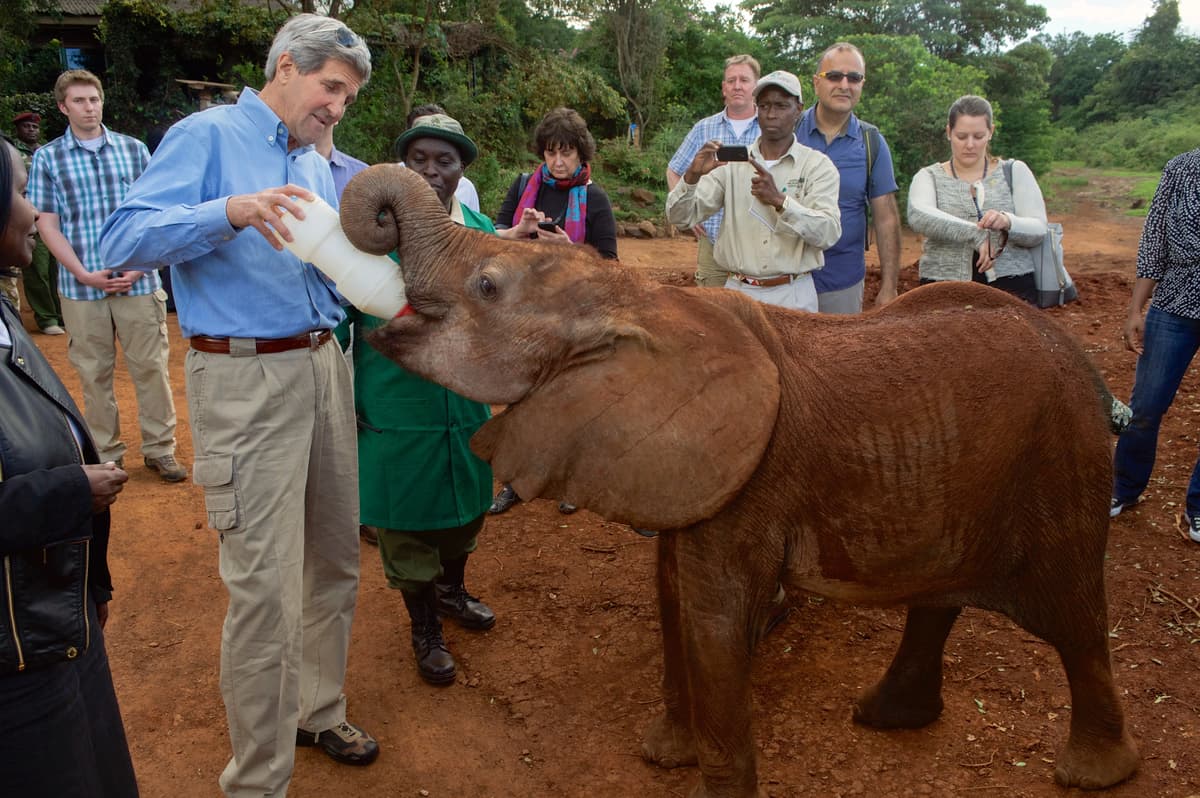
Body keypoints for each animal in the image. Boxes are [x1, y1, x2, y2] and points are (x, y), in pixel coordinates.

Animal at [338, 164, 1139, 797]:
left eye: (487, 286)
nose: (374, 227)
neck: (638, 300)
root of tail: (1086, 365)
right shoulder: (684, 469)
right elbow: (671, 598)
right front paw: (666, 756)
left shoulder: (750, 482)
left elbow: (714, 621)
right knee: (945, 596)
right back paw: (885, 715)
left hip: (1061, 459)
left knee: (1073, 614)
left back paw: (1093, 775)